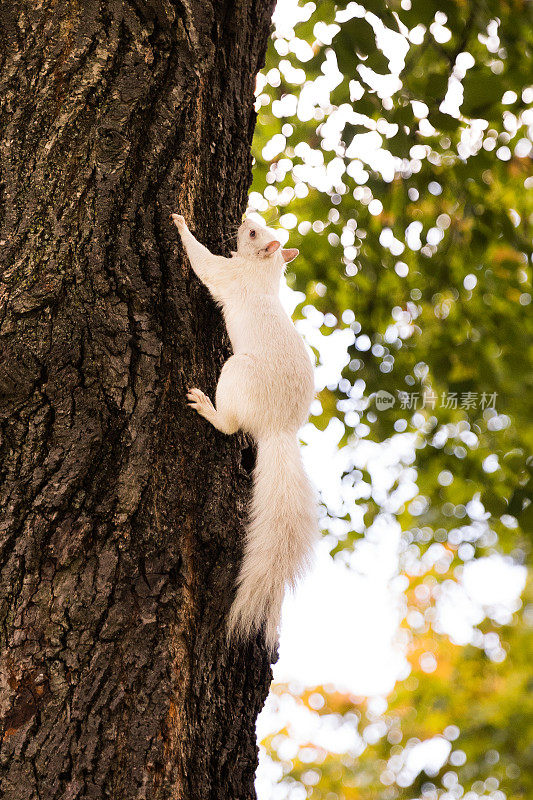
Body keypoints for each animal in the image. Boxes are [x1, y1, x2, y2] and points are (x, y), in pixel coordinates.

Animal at [172, 211, 318, 648]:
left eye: (253, 233)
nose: (244, 216)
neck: (262, 271)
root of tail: (278, 428)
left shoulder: (229, 275)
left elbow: (204, 264)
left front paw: (181, 225)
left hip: (237, 373)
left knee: (230, 424)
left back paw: (208, 408)